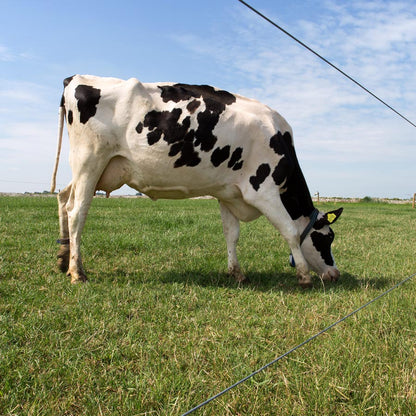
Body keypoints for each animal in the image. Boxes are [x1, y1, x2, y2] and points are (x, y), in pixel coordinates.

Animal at [50, 75, 342, 288]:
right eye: (327, 238)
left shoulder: (228, 193)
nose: (335, 274)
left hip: (90, 170)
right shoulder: (262, 190)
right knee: (77, 212)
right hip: (90, 161)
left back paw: (63, 260)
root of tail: (75, 78)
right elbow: (290, 231)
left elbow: (231, 234)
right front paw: (304, 276)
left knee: (64, 198)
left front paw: (236, 272)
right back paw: (77, 272)